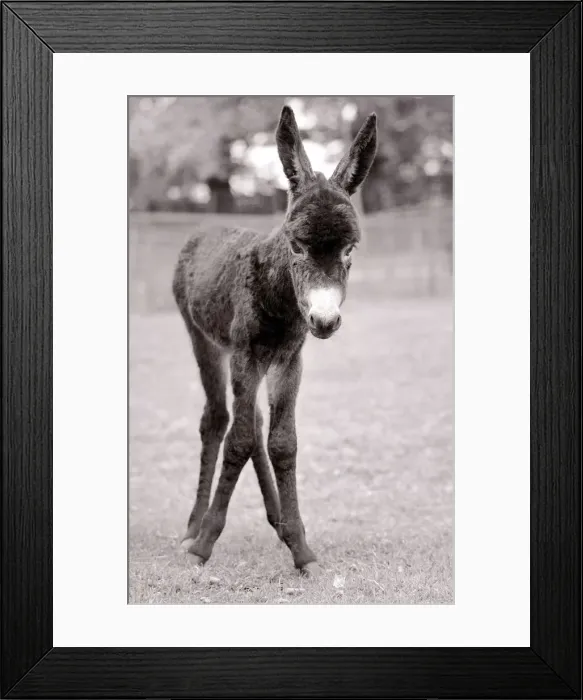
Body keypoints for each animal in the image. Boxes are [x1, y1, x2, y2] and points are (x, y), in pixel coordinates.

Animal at [172, 105, 377, 576]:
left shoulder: (288, 360)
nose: (324, 319)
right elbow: (239, 440)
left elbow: (282, 442)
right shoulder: (245, 354)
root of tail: (205, 230)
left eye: (350, 250)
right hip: (205, 341)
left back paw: (277, 522)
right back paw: (194, 527)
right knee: (218, 420)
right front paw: (205, 543)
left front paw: (300, 546)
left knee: (253, 421)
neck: (278, 298)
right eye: (297, 246)